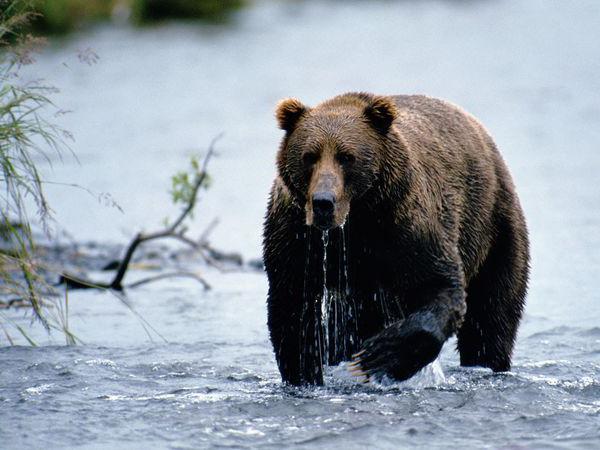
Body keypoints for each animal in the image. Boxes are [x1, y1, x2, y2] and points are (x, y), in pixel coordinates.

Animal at [262, 92, 528, 386]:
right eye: (309, 156)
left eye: (347, 157)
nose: (323, 202)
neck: (355, 222)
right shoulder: (296, 236)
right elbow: (293, 308)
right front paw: (306, 375)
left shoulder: (404, 225)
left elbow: (440, 285)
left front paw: (376, 357)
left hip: (495, 226)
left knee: (492, 314)